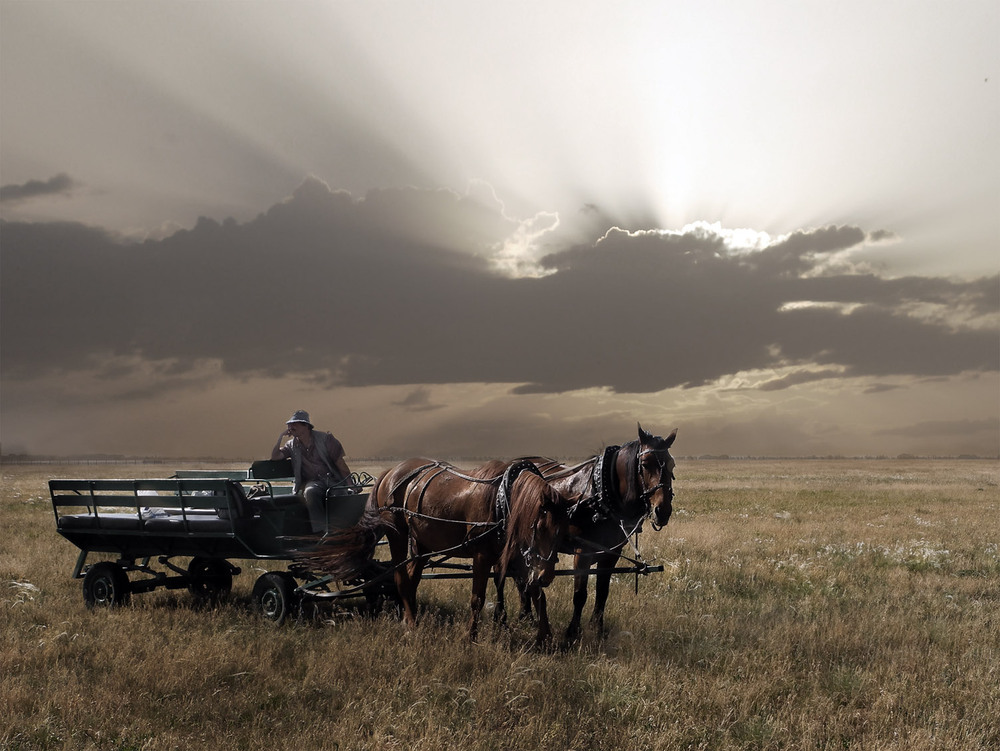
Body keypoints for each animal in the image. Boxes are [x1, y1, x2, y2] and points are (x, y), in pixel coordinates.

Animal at [308, 458, 568, 640]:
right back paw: (412, 625)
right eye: (538, 526)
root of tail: (388, 473)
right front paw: (470, 637)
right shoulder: (482, 557)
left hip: (422, 543)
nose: (547, 576)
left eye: (561, 529)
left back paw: (408, 617)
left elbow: (530, 592)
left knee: (411, 579)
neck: (501, 498)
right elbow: (478, 598)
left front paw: (542, 635)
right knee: (400, 577)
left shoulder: (514, 556)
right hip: (398, 535)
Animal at [520, 426, 676, 644]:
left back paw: (526, 615)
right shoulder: (582, 552)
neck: (602, 496)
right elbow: (580, 594)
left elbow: (603, 592)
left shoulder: (610, 554)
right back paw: (525, 615)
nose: (662, 511)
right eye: (645, 464)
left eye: (672, 464)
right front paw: (572, 632)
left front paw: (597, 629)